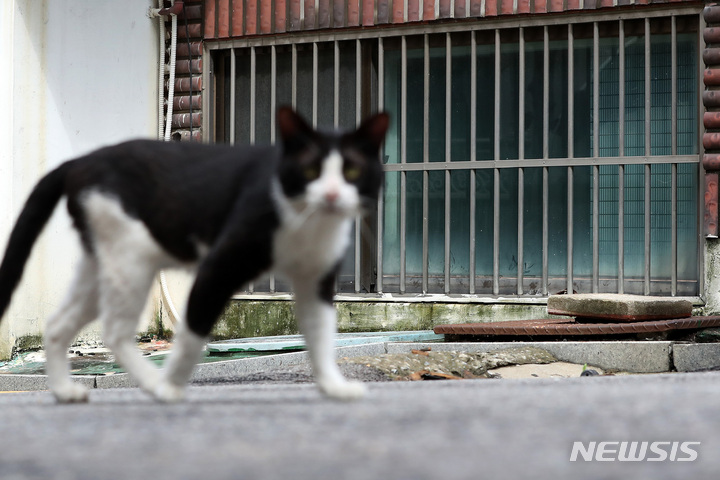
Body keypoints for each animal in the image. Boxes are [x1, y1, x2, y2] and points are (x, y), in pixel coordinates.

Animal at [0, 108, 388, 402]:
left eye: (352, 171)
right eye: (310, 170)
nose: (333, 195)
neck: (308, 224)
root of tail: (81, 160)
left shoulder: (317, 281)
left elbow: (321, 335)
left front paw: (334, 387)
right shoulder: (218, 268)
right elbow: (192, 333)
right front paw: (172, 386)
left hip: (102, 266)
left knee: (57, 324)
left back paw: (66, 392)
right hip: (132, 258)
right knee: (114, 331)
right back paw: (156, 386)